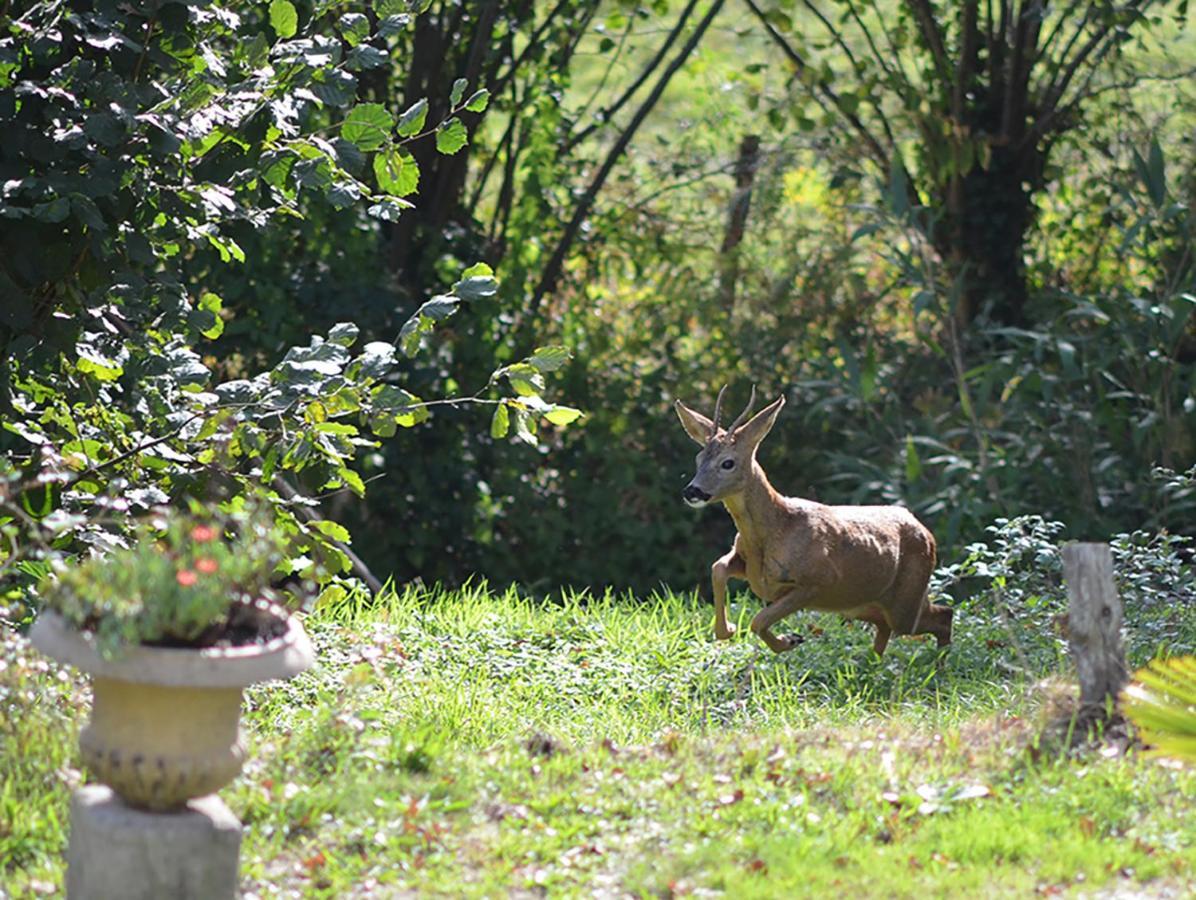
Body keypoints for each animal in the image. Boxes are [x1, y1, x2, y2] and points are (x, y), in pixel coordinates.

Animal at [679, 387, 947, 654]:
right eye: (698, 458)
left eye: (727, 463)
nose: (692, 491)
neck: (776, 529)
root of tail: (927, 534)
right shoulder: (747, 566)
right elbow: (718, 568)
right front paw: (729, 629)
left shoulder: (820, 580)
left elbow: (759, 620)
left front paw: (789, 640)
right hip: (862, 604)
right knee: (889, 628)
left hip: (905, 598)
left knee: (943, 615)